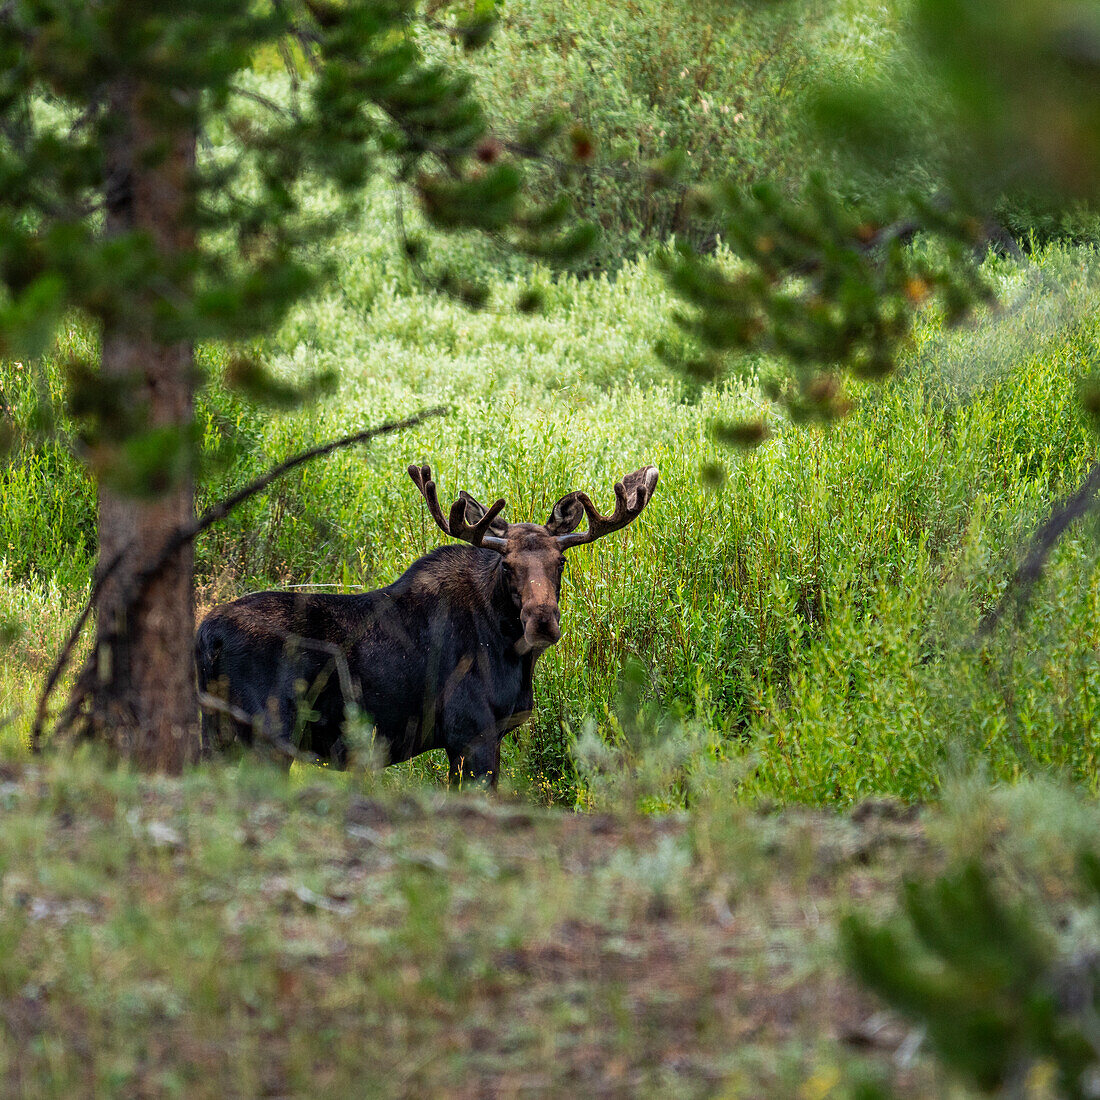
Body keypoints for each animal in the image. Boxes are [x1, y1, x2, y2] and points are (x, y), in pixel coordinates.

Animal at [193, 462, 655, 783]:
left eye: (560, 561)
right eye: (507, 565)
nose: (542, 622)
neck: (513, 652)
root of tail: (206, 638)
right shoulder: (471, 733)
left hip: (218, 735)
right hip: (267, 736)